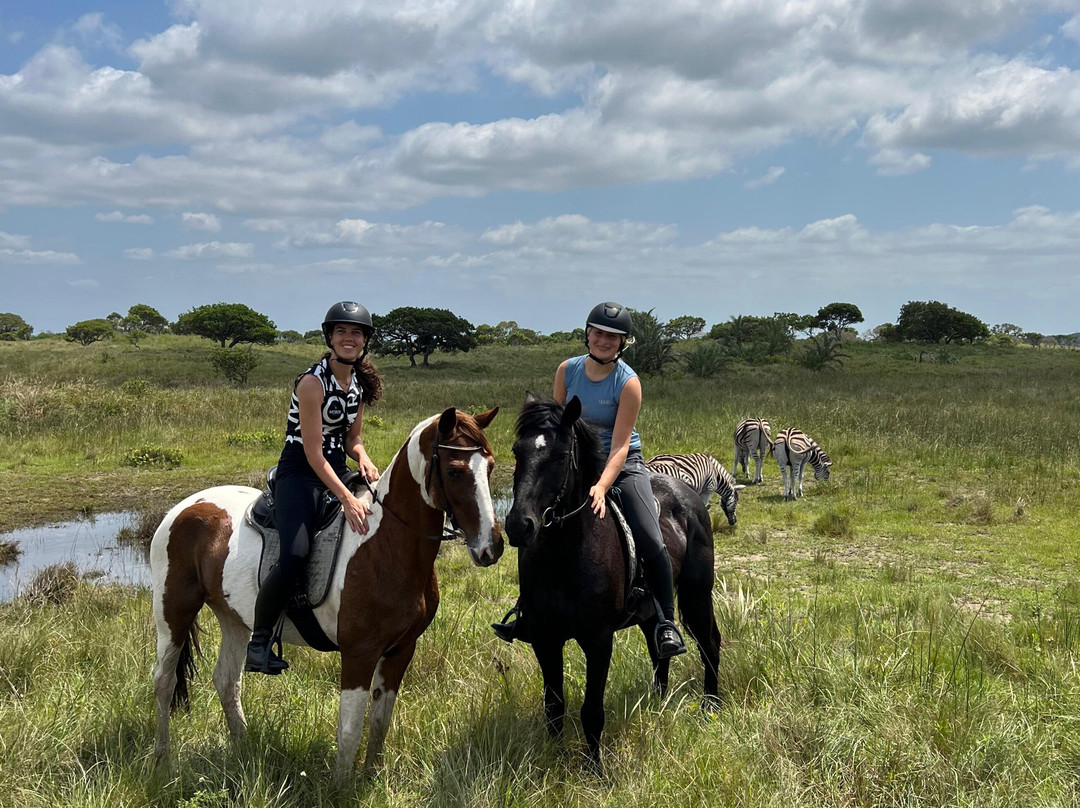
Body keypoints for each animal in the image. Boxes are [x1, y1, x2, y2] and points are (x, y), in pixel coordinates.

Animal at [151, 406, 501, 779]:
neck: (385, 544)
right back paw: (162, 760)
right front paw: (341, 785)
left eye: (490, 467)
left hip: (233, 618)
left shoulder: (401, 650)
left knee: (227, 681)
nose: (492, 547)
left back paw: (244, 751)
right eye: (455, 471)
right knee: (164, 681)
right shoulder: (359, 653)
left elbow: (380, 722)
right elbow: (349, 729)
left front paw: (370, 777)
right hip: (173, 612)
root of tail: (183, 508)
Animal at [504, 394, 721, 771]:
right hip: (651, 610)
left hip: (697, 595)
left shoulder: (598, 641)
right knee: (659, 650)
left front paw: (594, 770)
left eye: (561, 455)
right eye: (518, 451)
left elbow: (591, 710)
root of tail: (688, 494)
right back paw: (658, 704)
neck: (565, 555)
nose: (519, 525)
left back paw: (711, 706)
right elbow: (554, 707)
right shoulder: (545, 639)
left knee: (709, 643)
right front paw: (555, 760)